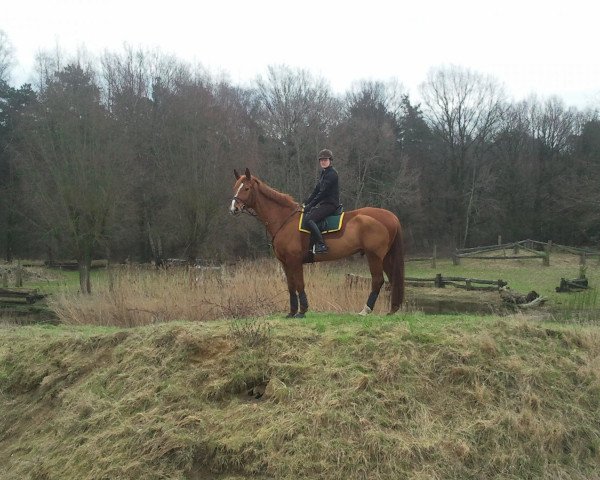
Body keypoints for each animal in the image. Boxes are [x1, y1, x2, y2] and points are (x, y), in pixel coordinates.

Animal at [227, 170, 406, 318]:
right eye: (235, 187)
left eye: (246, 188)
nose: (233, 209)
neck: (285, 219)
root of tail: (390, 216)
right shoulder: (285, 263)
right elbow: (291, 286)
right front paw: (292, 312)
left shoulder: (294, 261)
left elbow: (299, 284)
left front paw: (302, 311)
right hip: (385, 257)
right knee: (392, 279)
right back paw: (393, 309)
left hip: (374, 256)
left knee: (378, 281)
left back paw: (365, 310)